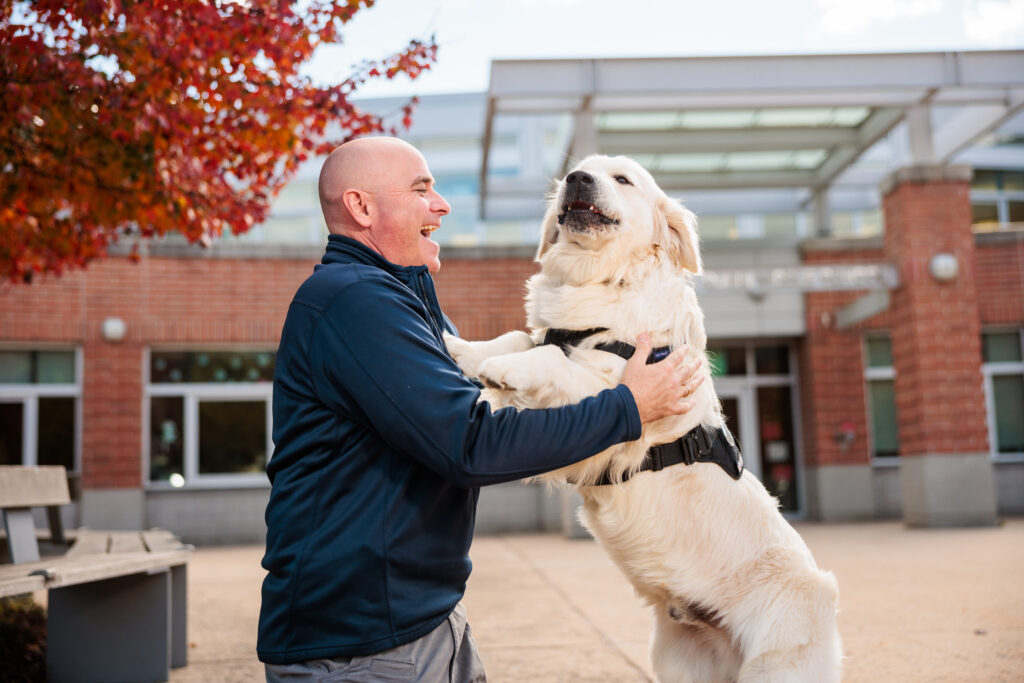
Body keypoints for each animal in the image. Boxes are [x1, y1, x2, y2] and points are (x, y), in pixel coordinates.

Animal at [446, 156, 839, 683]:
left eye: (622, 180)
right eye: (576, 171)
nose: (576, 180)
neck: (602, 280)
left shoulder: (619, 407)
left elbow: (547, 355)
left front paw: (503, 371)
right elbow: (521, 338)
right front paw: (462, 349)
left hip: (774, 665)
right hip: (678, 662)